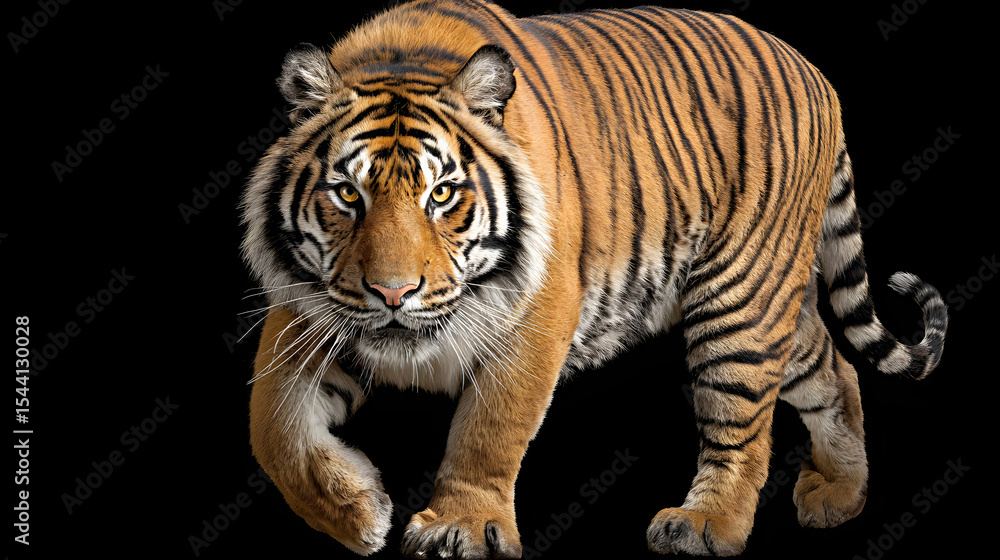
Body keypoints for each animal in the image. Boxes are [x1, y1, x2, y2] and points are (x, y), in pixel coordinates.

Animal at [239, 0, 949, 557]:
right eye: (347, 194)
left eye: (441, 195)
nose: (393, 293)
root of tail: (814, 71)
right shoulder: (313, 312)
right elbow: (273, 429)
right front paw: (357, 512)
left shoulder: (537, 315)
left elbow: (489, 427)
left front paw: (458, 527)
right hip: (774, 302)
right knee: (835, 369)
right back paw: (841, 493)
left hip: (741, 297)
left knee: (741, 417)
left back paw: (706, 524)